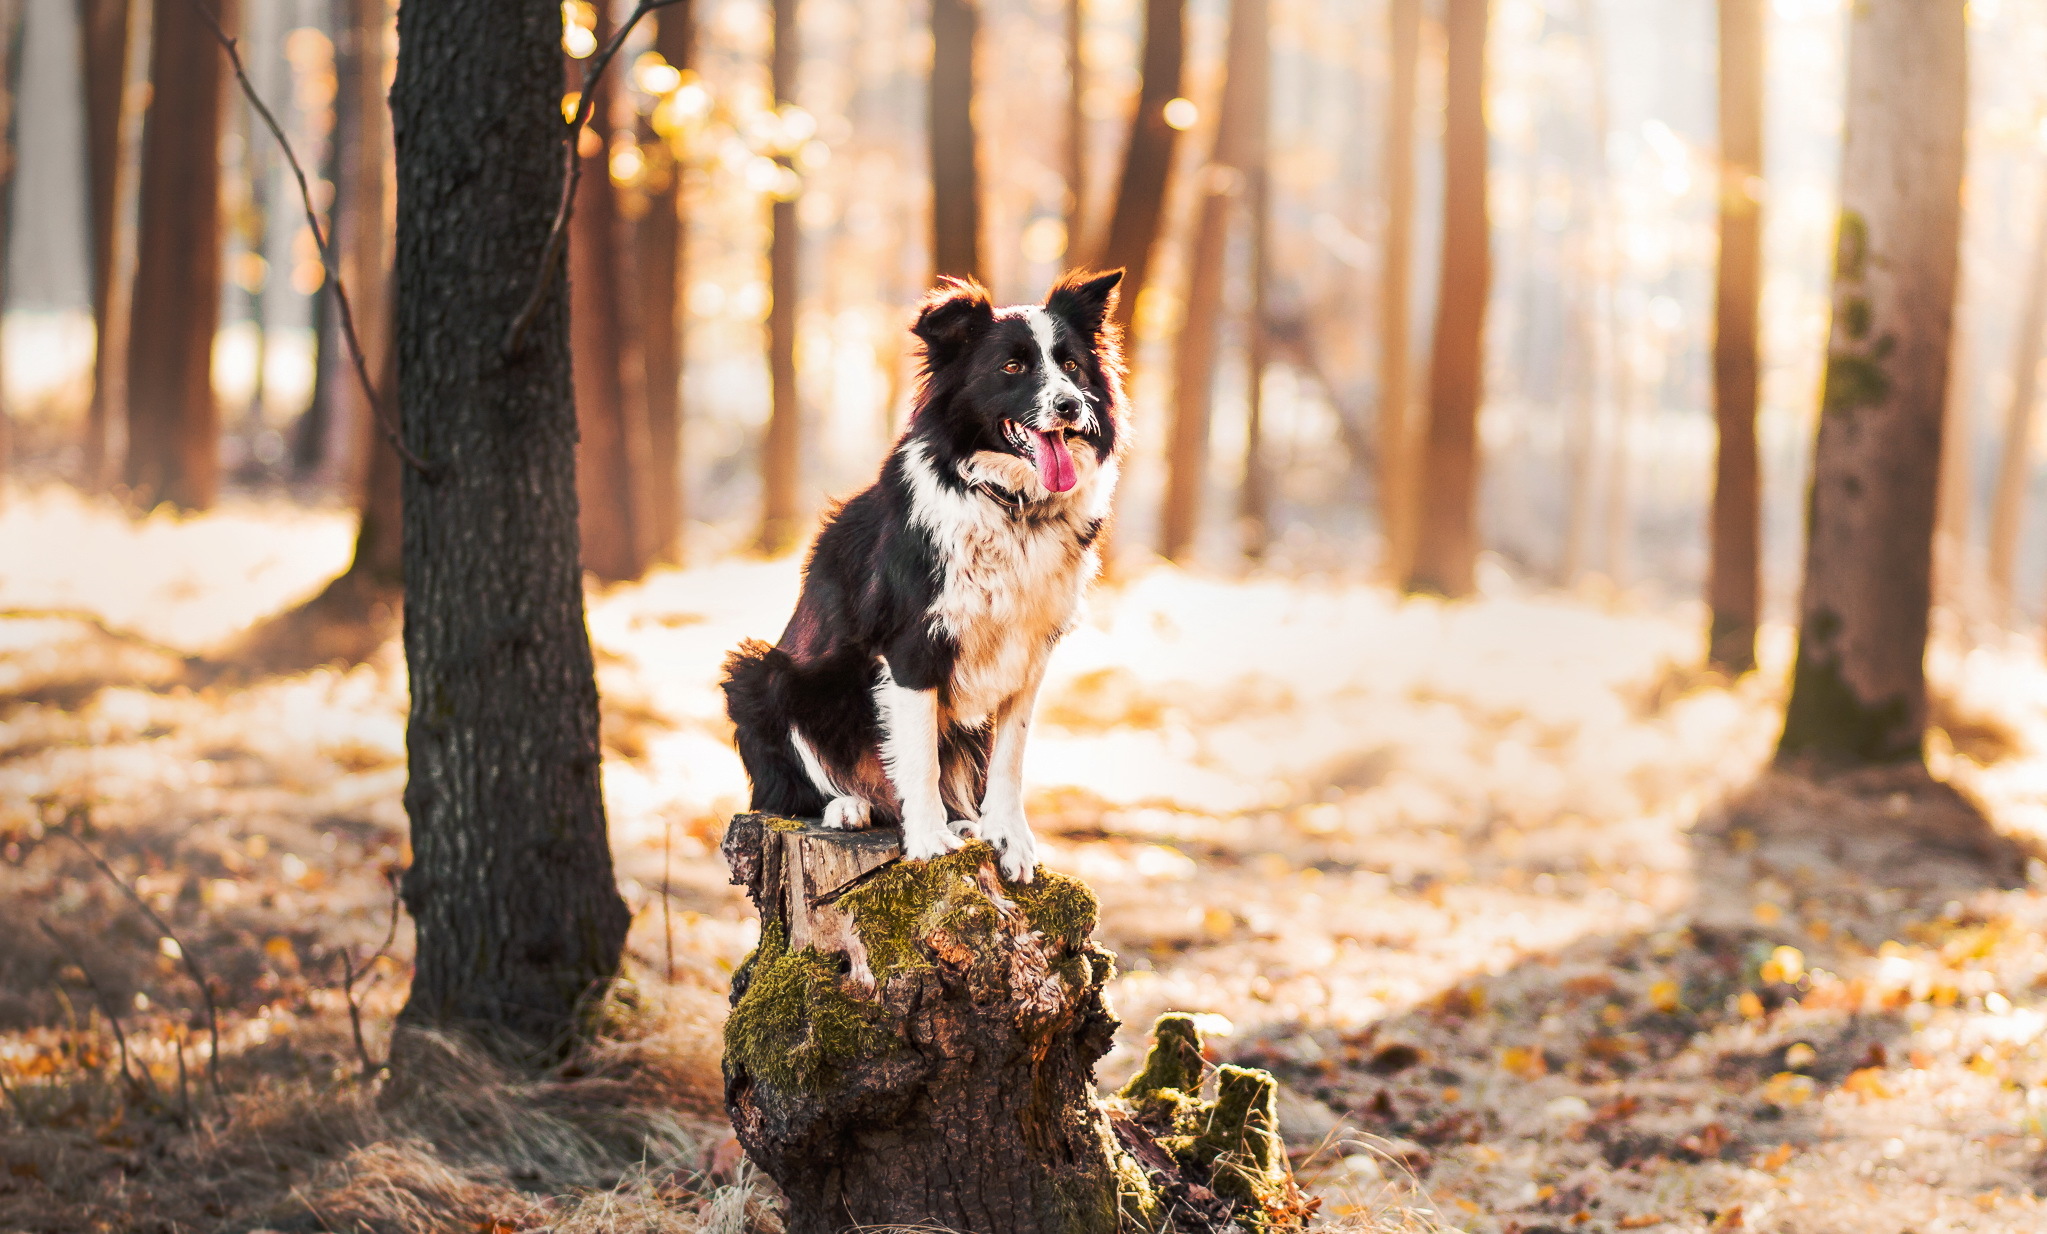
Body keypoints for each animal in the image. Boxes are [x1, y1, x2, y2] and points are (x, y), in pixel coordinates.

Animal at [720, 274, 1129, 884]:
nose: (1071, 405)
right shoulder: (912, 645)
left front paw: (1009, 838)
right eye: (1012, 367)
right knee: (786, 790)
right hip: (763, 677)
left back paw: (963, 820)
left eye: (1072, 365)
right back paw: (849, 806)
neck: (1008, 506)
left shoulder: (1030, 651)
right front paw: (930, 842)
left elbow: (1008, 759)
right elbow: (918, 757)